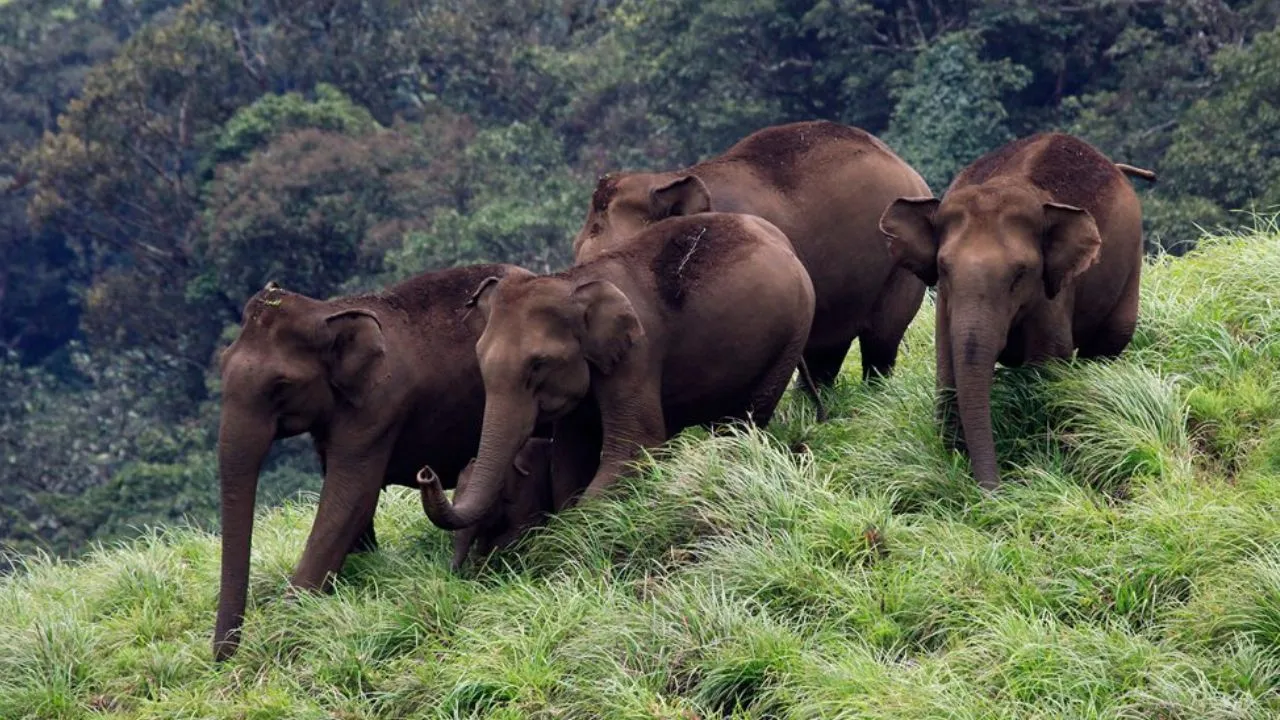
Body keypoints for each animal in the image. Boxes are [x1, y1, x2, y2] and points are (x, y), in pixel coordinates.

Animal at [212, 263, 520, 661]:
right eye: (221, 365)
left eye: (281, 385)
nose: (222, 659)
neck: (330, 310)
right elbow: (351, 503)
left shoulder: (379, 406)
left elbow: (348, 498)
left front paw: (286, 628)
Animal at [419, 211, 816, 529]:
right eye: (480, 359)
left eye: (538, 364)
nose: (427, 472)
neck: (571, 281)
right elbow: (570, 456)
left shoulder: (637, 354)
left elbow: (634, 444)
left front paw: (570, 533)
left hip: (792, 332)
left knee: (749, 414)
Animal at [878, 132, 1157, 489]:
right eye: (943, 268)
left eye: (1020, 273)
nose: (993, 491)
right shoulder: (946, 301)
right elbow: (947, 360)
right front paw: (952, 458)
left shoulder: (1052, 292)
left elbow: (1047, 361)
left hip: (1131, 261)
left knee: (1108, 342)